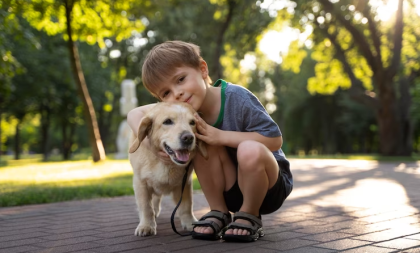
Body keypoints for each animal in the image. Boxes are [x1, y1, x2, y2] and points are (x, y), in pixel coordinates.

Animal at [128, 102, 207, 236]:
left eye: (192, 122)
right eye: (168, 121)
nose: (188, 138)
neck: (166, 164)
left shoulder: (185, 183)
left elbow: (186, 205)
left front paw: (189, 223)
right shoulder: (140, 183)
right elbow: (146, 207)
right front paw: (146, 225)